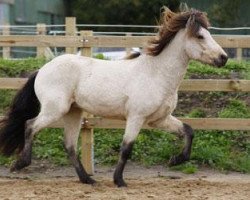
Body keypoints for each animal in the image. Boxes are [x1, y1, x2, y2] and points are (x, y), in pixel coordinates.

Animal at [0, 7, 227, 187]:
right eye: (200, 36)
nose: (223, 58)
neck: (156, 74)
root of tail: (42, 70)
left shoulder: (159, 119)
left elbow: (189, 131)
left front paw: (175, 160)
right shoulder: (136, 117)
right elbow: (126, 148)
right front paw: (119, 181)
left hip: (74, 112)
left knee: (69, 145)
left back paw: (88, 180)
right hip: (55, 110)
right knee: (30, 125)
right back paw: (21, 164)